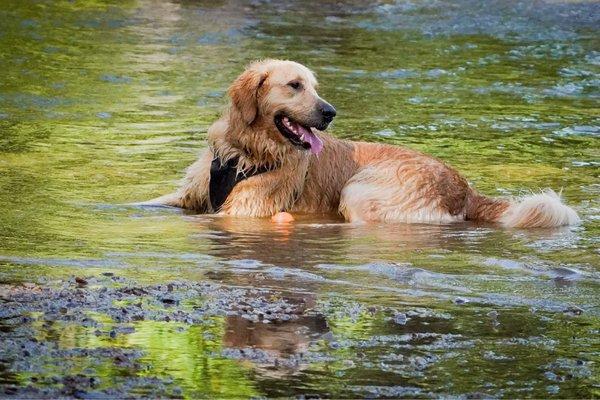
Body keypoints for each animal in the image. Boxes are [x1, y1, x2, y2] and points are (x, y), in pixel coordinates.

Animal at [145, 59, 580, 228]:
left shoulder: (243, 210)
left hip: (360, 192)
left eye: (315, 87)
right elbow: (149, 203)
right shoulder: (189, 194)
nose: (330, 112)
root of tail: (464, 188)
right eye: (295, 85)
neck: (249, 150)